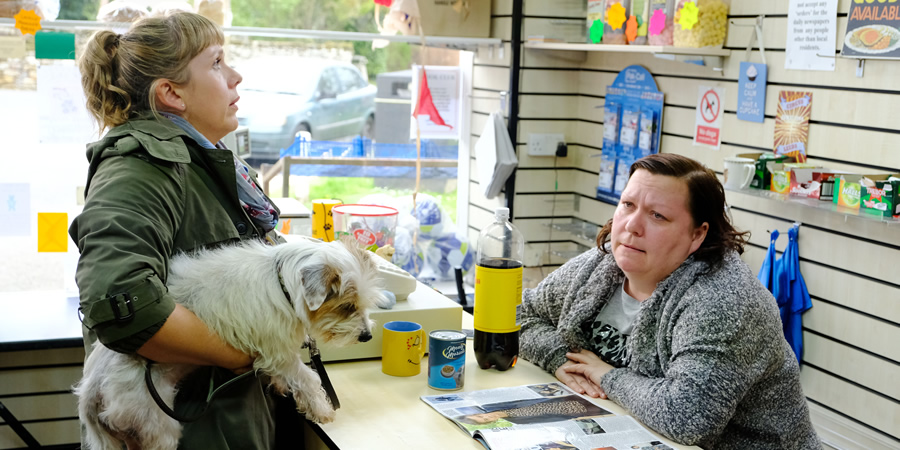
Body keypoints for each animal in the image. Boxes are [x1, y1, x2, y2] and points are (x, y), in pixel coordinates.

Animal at [76, 237, 384, 448]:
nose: (366, 335)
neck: (282, 284)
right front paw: (321, 409)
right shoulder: (278, 352)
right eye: (347, 307)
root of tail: (91, 388)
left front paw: (282, 385)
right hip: (157, 425)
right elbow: (307, 378)